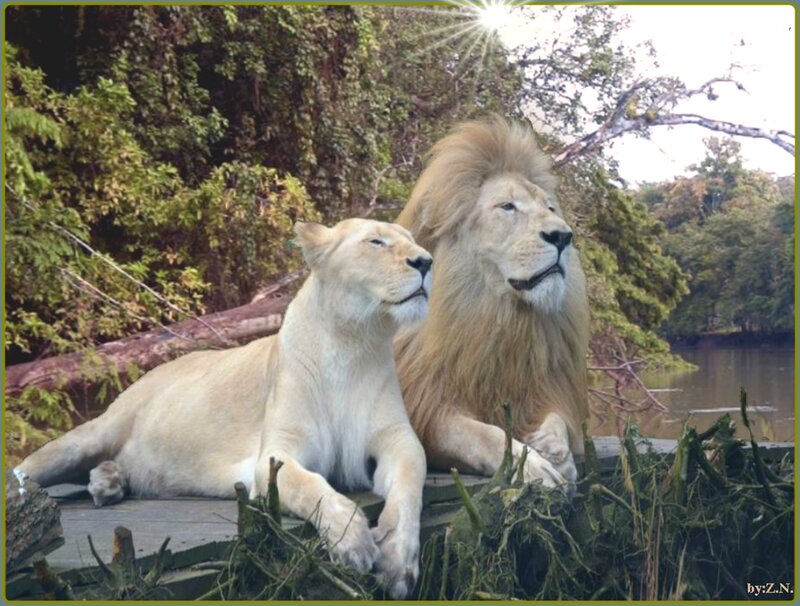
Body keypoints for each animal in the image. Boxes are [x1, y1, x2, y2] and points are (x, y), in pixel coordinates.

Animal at [17, 218, 432, 598]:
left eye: (411, 240)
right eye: (375, 242)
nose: (426, 261)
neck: (354, 344)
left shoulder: (398, 440)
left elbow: (410, 485)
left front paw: (398, 563)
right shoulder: (275, 454)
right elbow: (310, 486)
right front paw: (353, 542)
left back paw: (108, 483)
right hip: (91, 435)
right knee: (28, 470)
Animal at [394, 115, 590, 492]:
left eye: (550, 208)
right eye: (508, 207)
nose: (562, 236)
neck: (501, 319)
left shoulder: (546, 387)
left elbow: (557, 419)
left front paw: (554, 449)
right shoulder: (427, 408)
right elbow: (485, 436)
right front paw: (535, 467)